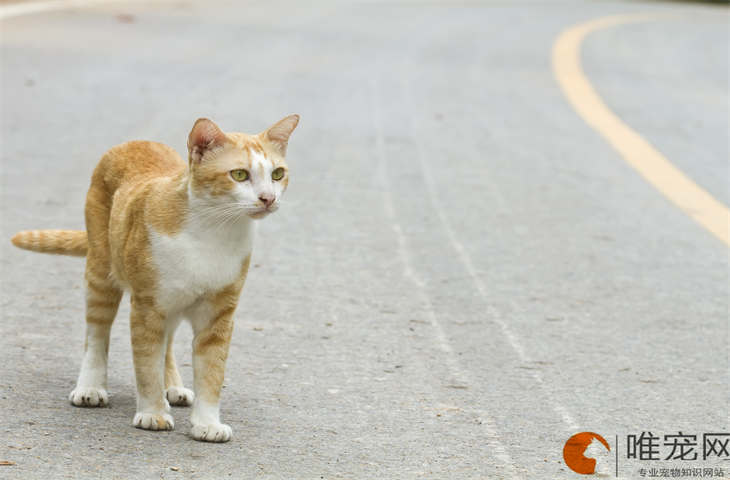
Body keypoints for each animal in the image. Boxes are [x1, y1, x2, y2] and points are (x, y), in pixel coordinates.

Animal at [9, 115, 298, 442]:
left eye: (277, 174)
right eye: (239, 175)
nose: (268, 198)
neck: (213, 230)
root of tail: (135, 141)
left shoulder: (219, 315)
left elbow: (212, 371)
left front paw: (207, 423)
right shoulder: (148, 307)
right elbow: (146, 363)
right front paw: (152, 412)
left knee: (167, 344)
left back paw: (172, 386)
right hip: (101, 273)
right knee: (97, 334)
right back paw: (91, 387)